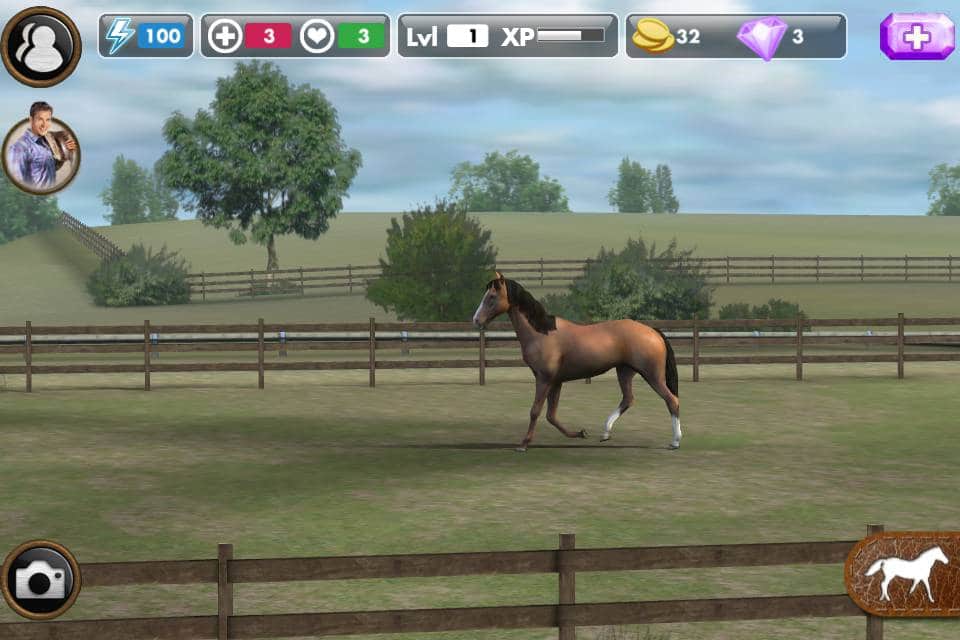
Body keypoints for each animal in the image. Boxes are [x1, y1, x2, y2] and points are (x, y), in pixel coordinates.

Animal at [472, 272, 681, 452]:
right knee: (628, 399)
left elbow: (535, 411)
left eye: (491, 297)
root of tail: (653, 331)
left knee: (672, 400)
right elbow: (551, 416)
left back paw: (675, 442)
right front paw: (581, 433)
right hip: (625, 371)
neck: (542, 333)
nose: (476, 320)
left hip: (652, 375)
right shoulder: (556, 381)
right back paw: (605, 434)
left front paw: (523, 444)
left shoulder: (544, 379)